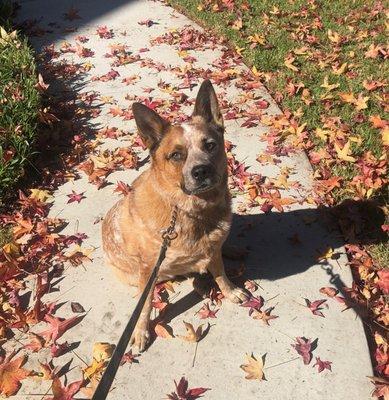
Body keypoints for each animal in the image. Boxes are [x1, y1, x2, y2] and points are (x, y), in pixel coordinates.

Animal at [101, 79, 249, 350]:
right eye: (176, 155)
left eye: (210, 145)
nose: (201, 171)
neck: (190, 211)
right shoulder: (149, 269)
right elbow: (145, 305)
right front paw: (140, 331)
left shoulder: (212, 250)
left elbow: (221, 273)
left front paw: (230, 290)